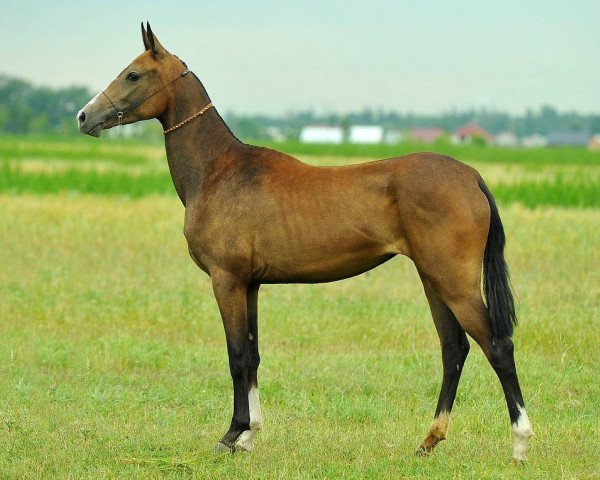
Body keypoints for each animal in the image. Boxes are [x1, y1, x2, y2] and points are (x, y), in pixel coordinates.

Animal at [77, 23, 532, 462]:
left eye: (132, 74)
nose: (84, 116)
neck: (219, 170)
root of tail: (470, 176)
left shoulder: (226, 280)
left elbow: (236, 356)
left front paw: (231, 436)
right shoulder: (250, 285)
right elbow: (253, 354)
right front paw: (249, 436)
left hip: (453, 282)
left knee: (497, 345)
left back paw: (520, 443)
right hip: (432, 280)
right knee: (453, 350)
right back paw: (428, 441)